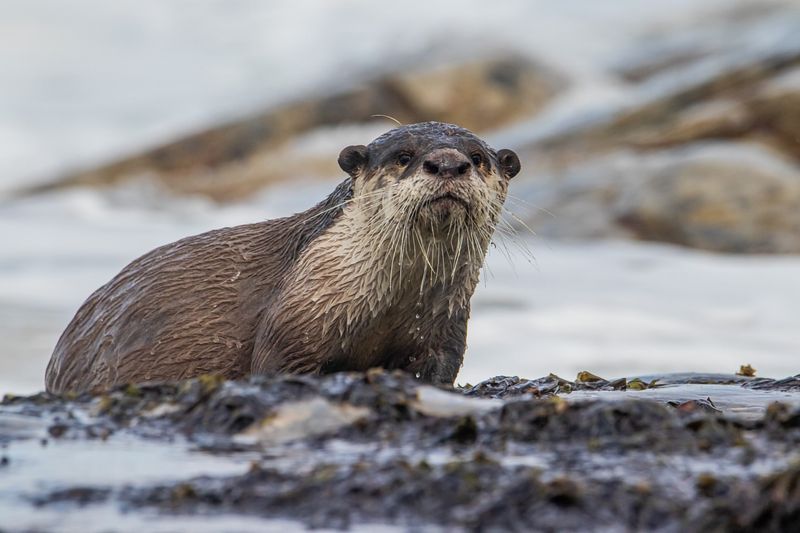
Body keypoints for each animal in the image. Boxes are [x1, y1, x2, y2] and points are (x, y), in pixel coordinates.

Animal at [45, 122, 520, 392]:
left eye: (477, 158)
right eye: (404, 156)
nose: (448, 164)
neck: (385, 304)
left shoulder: (443, 328)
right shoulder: (293, 323)